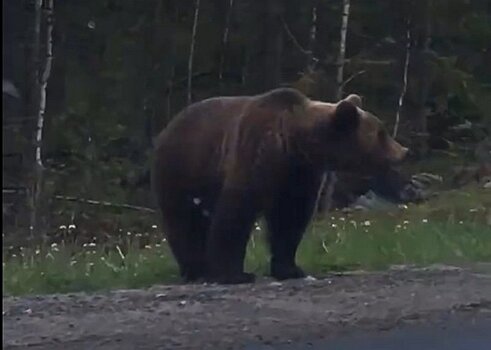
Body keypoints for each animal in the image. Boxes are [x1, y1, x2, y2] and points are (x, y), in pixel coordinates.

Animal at [152, 87, 410, 284]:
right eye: (381, 133)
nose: (404, 152)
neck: (294, 144)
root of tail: (166, 128)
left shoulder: (299, 177)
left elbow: (289, 220)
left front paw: (290, 269)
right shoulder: (253, 156)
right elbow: (235, 216)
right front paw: (235, 274)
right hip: (183, 170)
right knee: (184, 221)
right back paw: (195, 269)